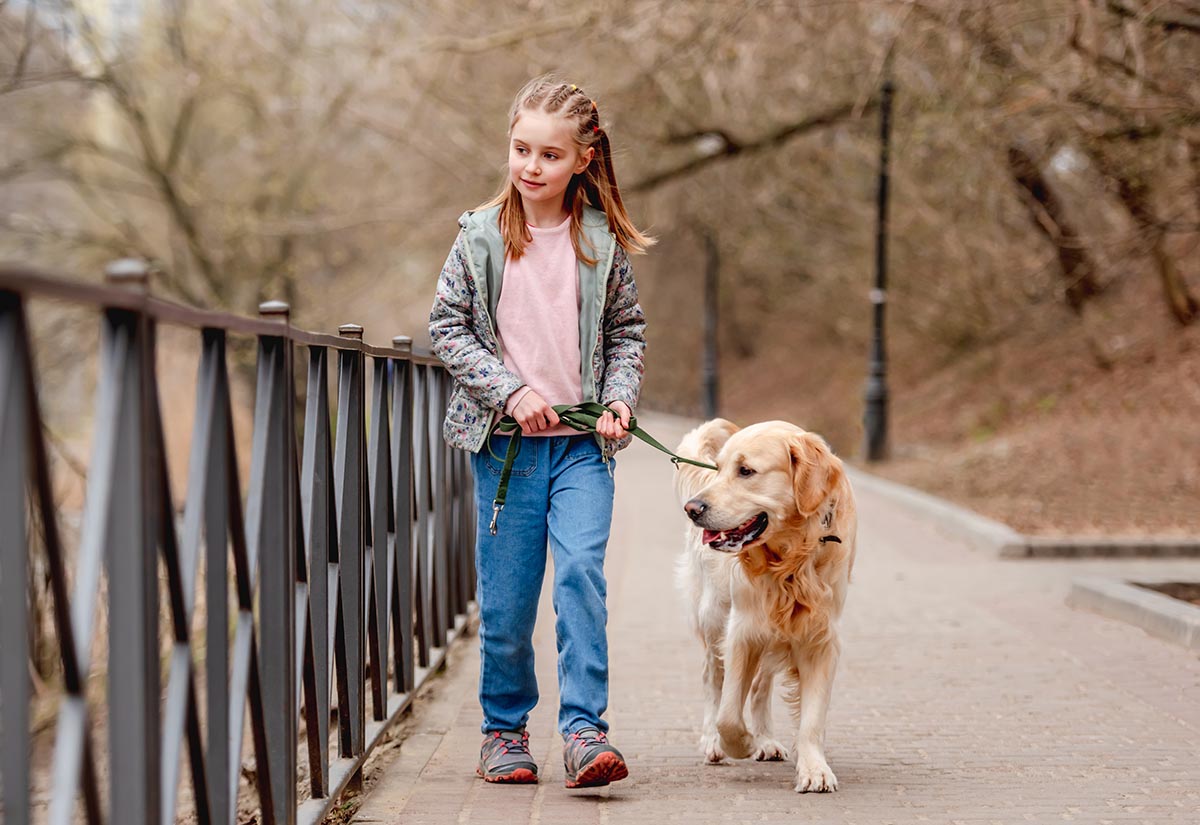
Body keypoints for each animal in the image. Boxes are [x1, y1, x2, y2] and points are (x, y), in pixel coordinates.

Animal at [676, 419, 854, 791]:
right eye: (718, 468)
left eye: (746, 471)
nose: (693, 508)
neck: (790, 559)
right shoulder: (742, 629)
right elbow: (729, 713)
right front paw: (740, 742)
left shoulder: (820, 637)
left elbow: (812, 718)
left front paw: (814, 768)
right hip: (713, 616)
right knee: (713, 679)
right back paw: (714, 741)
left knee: (760, 685)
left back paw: (766, 739)